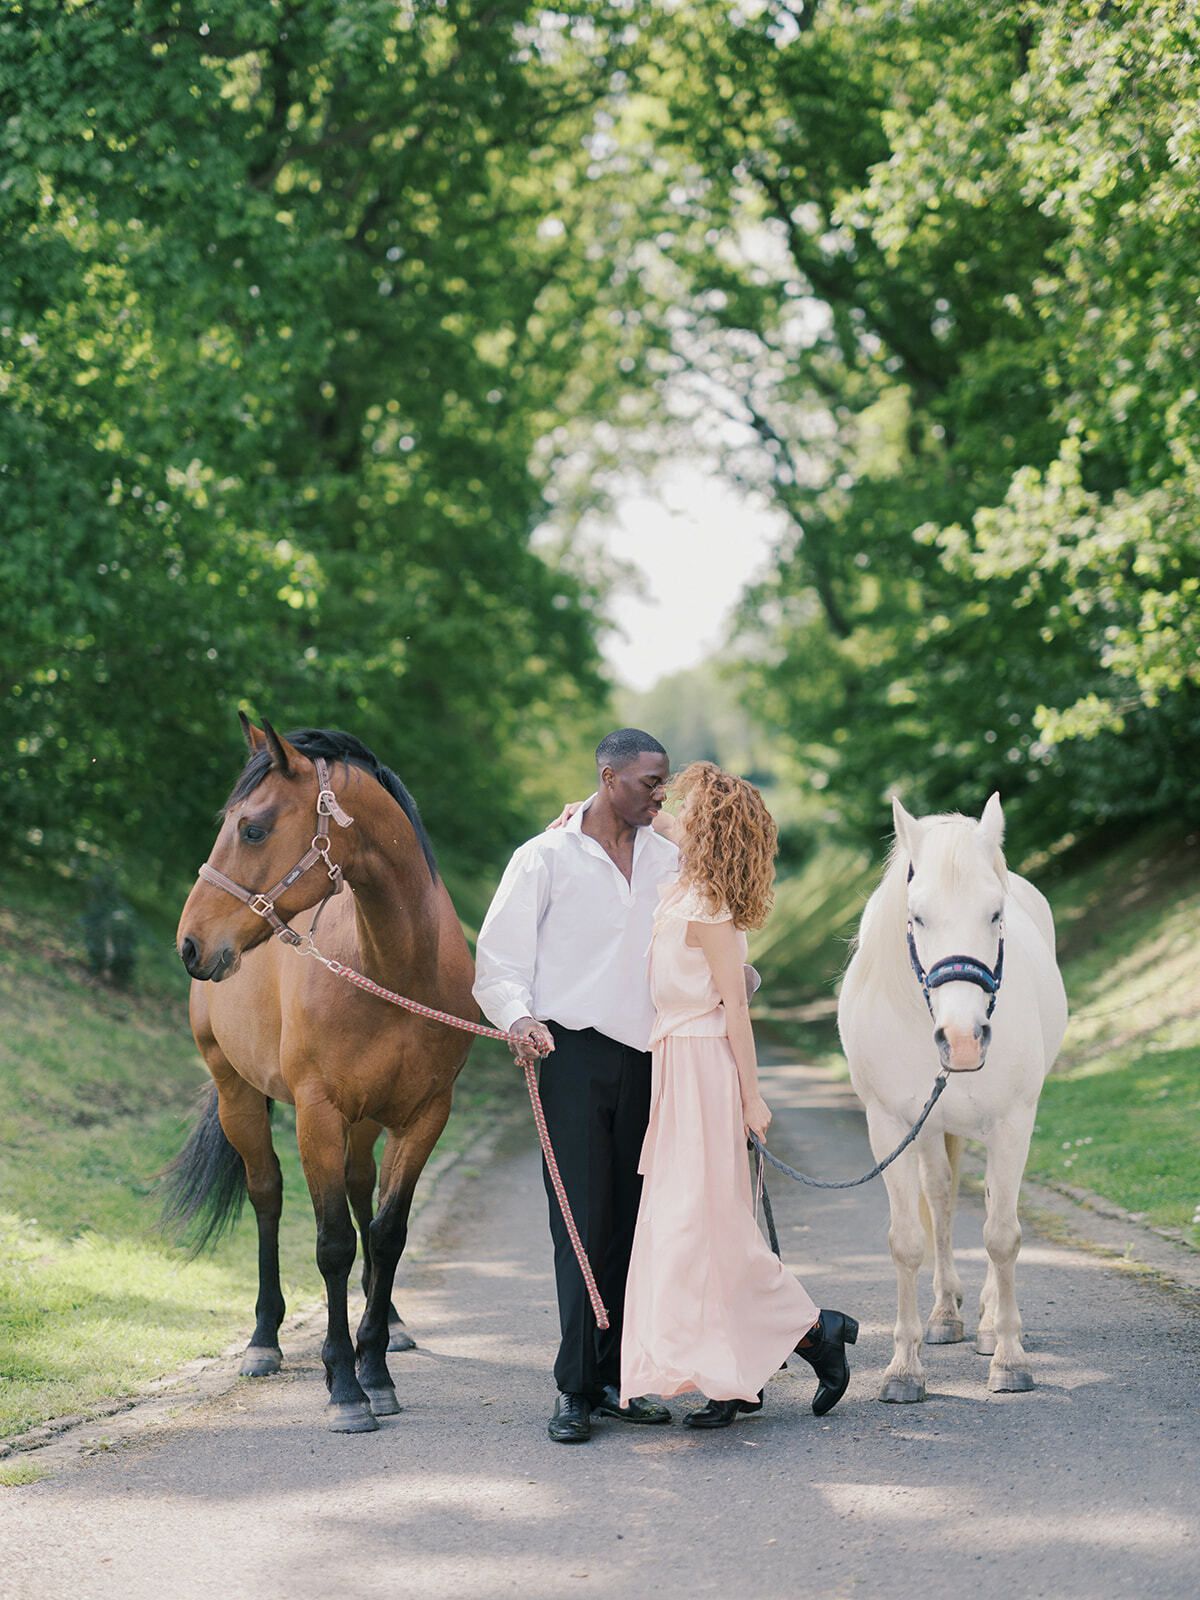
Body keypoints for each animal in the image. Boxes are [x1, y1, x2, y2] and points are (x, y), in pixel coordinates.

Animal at [168, 715, 476, 1432]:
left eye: (252, 828)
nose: (190, 943)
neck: (392, 966)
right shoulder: (318, 1115)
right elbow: (333, 1243)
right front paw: (345, 1387)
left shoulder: (425, 1116)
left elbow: (387, 1234)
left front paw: (376, 1369)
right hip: (238, 1095)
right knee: (267, 1195)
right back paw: (263, 1340)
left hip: (366, 1123)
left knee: (364, 1193)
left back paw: (389, 1325)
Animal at [837, 793, 1068, 1401]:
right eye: (917, 916)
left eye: (996, 913)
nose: (963, 1039)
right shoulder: (890, 1126)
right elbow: (907, 1240)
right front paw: (903, 1368)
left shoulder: (1012, 1122)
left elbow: (1002, 1235)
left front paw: (1010, 1358)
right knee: (940, 1201)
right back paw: (944, 1316)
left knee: (989, 1205)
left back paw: (986, 1324)